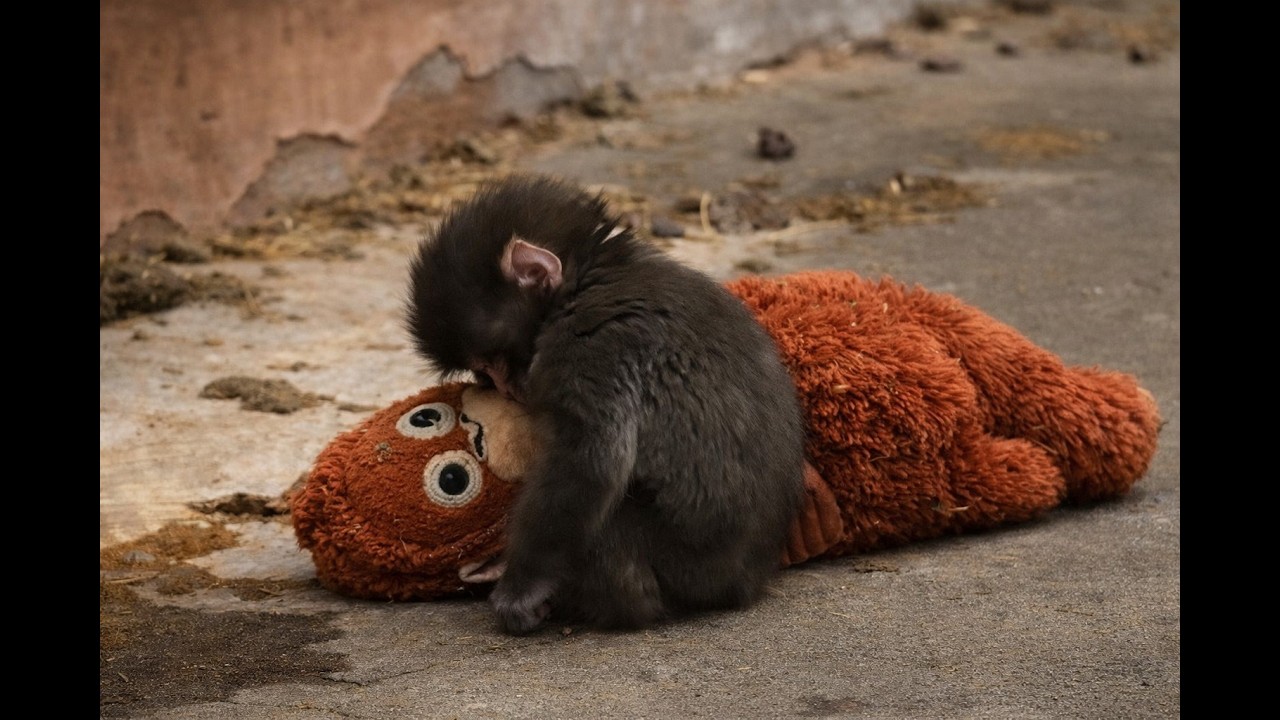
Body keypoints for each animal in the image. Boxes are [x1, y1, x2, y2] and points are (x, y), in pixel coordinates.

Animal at [405, 174, 806, 634]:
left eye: (493, 362)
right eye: (485, 372)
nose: (507, 390)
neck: (590, 277)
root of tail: (743, 584)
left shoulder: (590, 344)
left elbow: (589, 463)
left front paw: (521, 588)